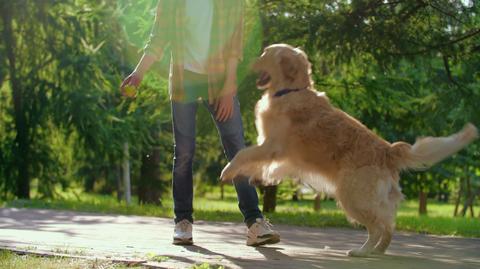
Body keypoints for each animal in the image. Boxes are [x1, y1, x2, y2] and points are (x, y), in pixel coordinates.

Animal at [220, 43, 476, 255]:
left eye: (266, 53)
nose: (245, 60)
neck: (291, 91)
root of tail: (388, 150)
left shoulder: (273, 144)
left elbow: (244, 153)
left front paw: (228, 171)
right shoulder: (283, 153)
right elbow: (265, 165)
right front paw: (256, 178)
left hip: (351, 196)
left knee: (378, 226)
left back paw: (363, 251)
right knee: (388, 225)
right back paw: (376, 251)